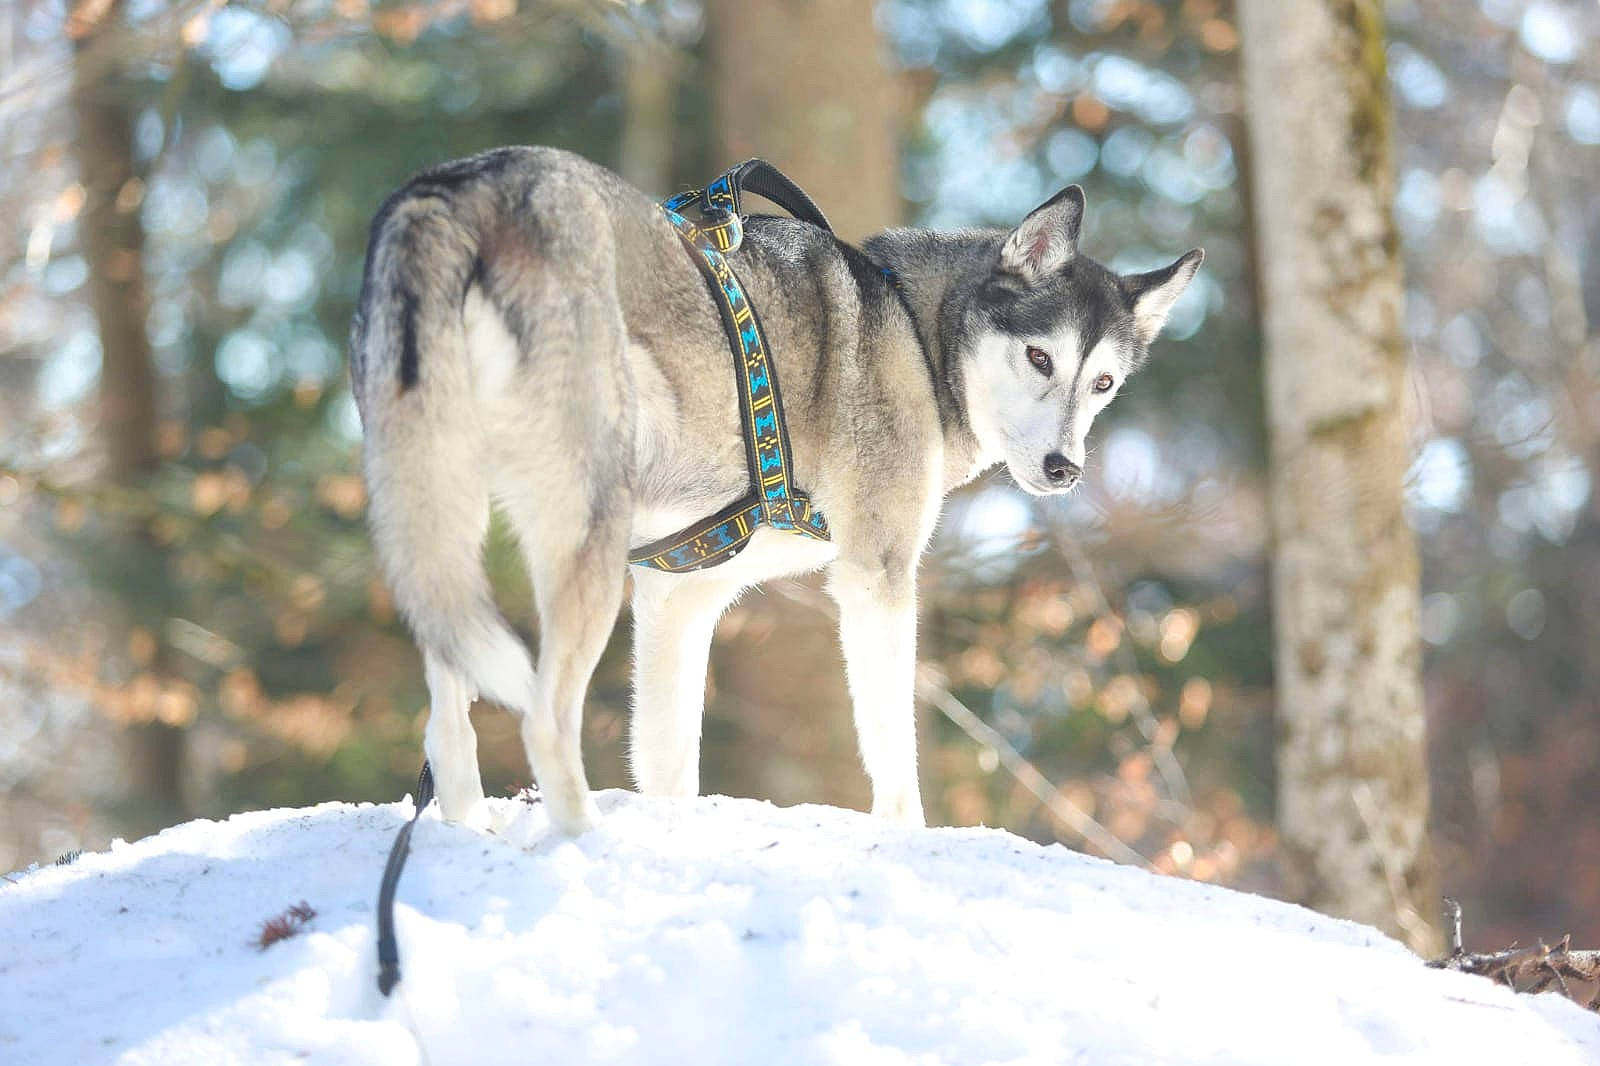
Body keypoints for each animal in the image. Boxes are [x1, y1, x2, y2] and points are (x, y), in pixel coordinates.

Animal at [350, 146, 1201, 836]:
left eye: (1103, 384)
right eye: (1038, 357)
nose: (1065, 468)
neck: (916, 332)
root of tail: (459, 186)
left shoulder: (680, 594)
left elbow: (667, 757)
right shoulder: (876, 578)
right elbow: (894, 754)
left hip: (450, 529)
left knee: (447, 723)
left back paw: (471, 824)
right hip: (580, 536)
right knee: (544, 722)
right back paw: (584, 841)